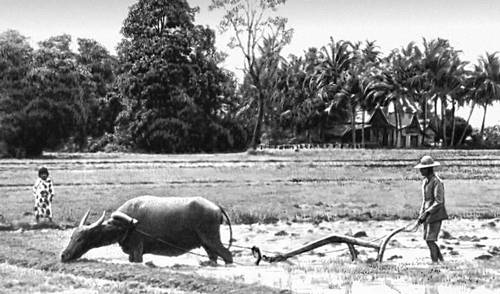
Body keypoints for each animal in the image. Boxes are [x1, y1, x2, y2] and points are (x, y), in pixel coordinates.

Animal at [61, 198, 233, 264]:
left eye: (81, 238)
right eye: (71, 237)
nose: (64, 255)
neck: (125, 225)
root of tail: (216, 207)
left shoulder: (138, 250)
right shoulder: (131, 253)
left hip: (212, 239)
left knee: (228, 255)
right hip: (206, 243)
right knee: (214, 257)